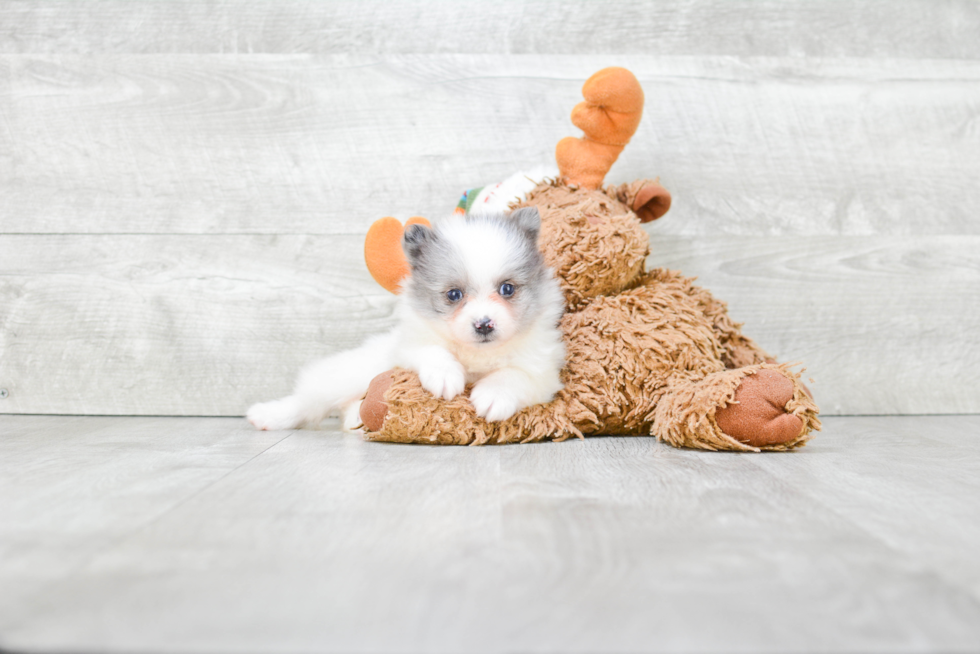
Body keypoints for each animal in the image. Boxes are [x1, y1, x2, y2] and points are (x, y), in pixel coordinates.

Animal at [247, 208, 568, 434]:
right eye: (454, 294)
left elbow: (514, 375)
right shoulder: (407, 347)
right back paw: (268, 415)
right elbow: (432, 351)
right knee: (309, 399)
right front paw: (445, 376)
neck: (477, 356)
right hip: (349, 374)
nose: (484, 324)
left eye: (507, 289)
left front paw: (493, 394)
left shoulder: (543, 373)